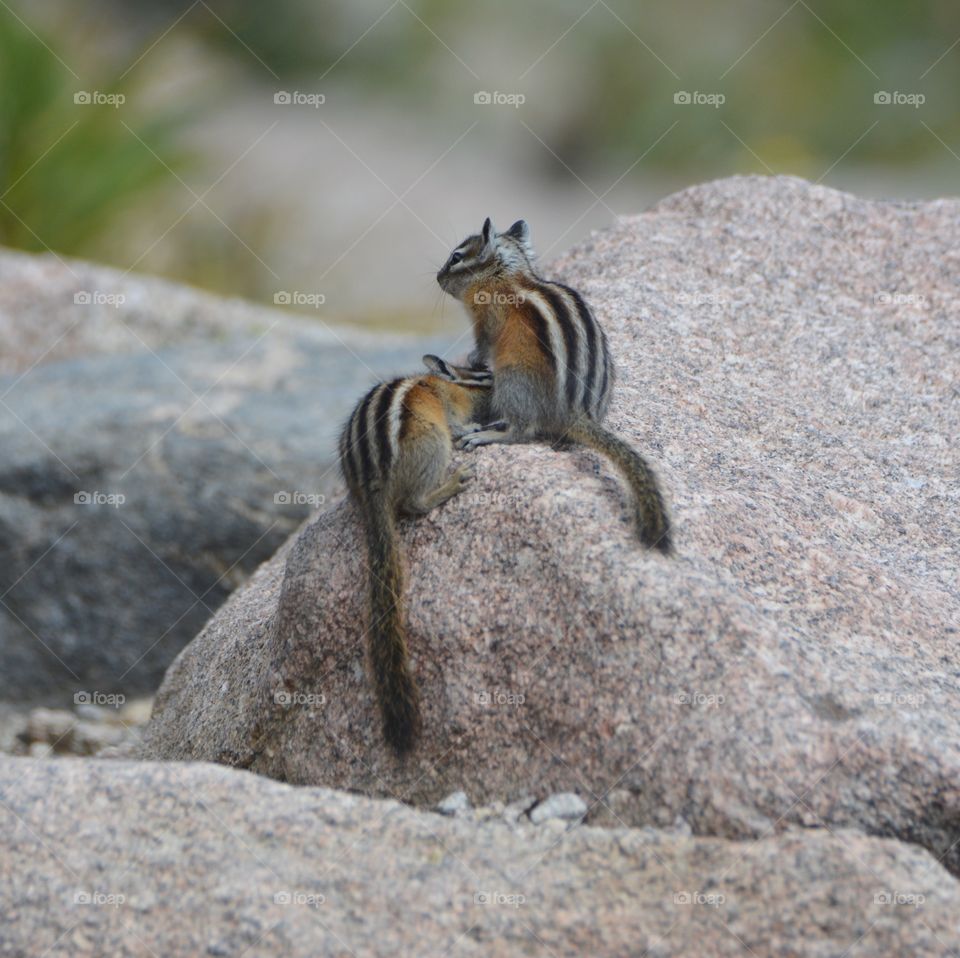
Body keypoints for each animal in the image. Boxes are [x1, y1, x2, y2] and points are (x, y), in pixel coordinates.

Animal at [338, 360, 491, 755]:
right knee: (414, 503)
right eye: (486, 375)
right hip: (431, 442)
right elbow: (459, 423)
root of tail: (372, 486)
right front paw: (472, 429)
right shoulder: (449, 407)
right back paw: (451, 483)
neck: (451, 382)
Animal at [435, 217, 672, 553]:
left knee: (523, 431)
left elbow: (483, 344)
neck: (506, 275)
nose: (438, 277)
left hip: (512, 381)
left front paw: (473, 358)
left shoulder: (486, 320)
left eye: (455, 257)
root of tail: (575, 413)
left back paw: (488, 434)